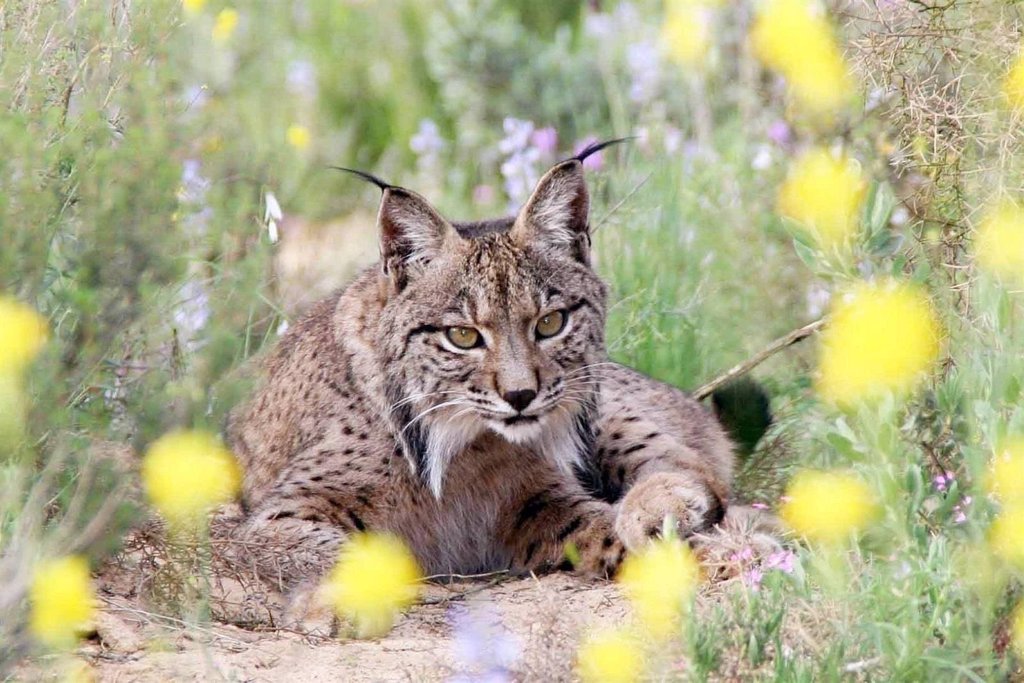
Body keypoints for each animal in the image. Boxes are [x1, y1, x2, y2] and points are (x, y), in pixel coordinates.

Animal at [224, 140, 774, 593]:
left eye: (550, 323)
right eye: (463, 336)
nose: (520, 396)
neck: (465, 444)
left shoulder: (539, 500)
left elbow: (612, 527)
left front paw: (726, 556)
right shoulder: (272, 519)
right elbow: (328, 554)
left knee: (699, 469)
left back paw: (666, 507)